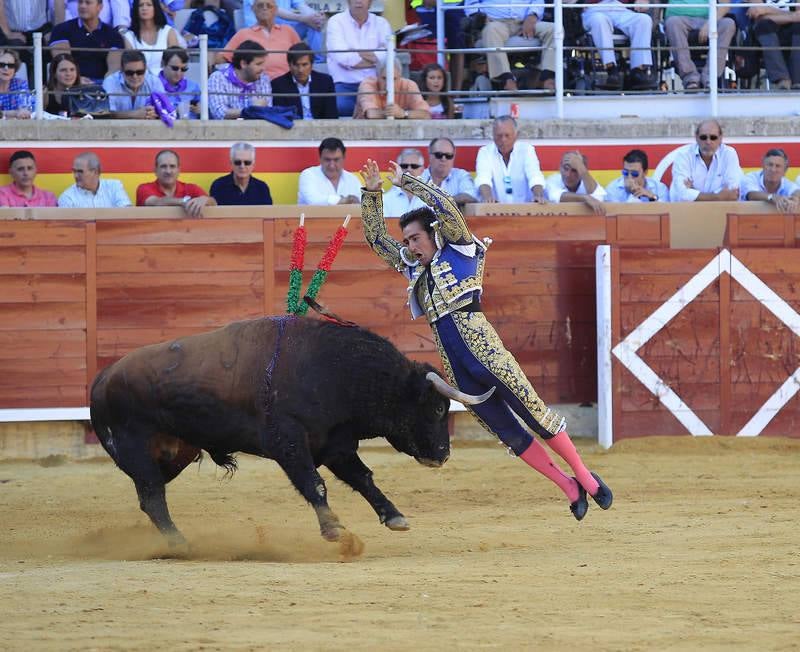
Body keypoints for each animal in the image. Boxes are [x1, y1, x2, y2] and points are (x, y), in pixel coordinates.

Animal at [89, 314, 494, 544]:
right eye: (438, 407)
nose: (443, 455)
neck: (335, 371)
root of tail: (102, 379)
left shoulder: (335, 444)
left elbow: (363, 478)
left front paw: (394, 516)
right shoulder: (287, 441)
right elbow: (314, 483)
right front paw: (333, 529)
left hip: (176, 453)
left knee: (149, 497)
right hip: (136, 449)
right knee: (153, 497)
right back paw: (180, 543)